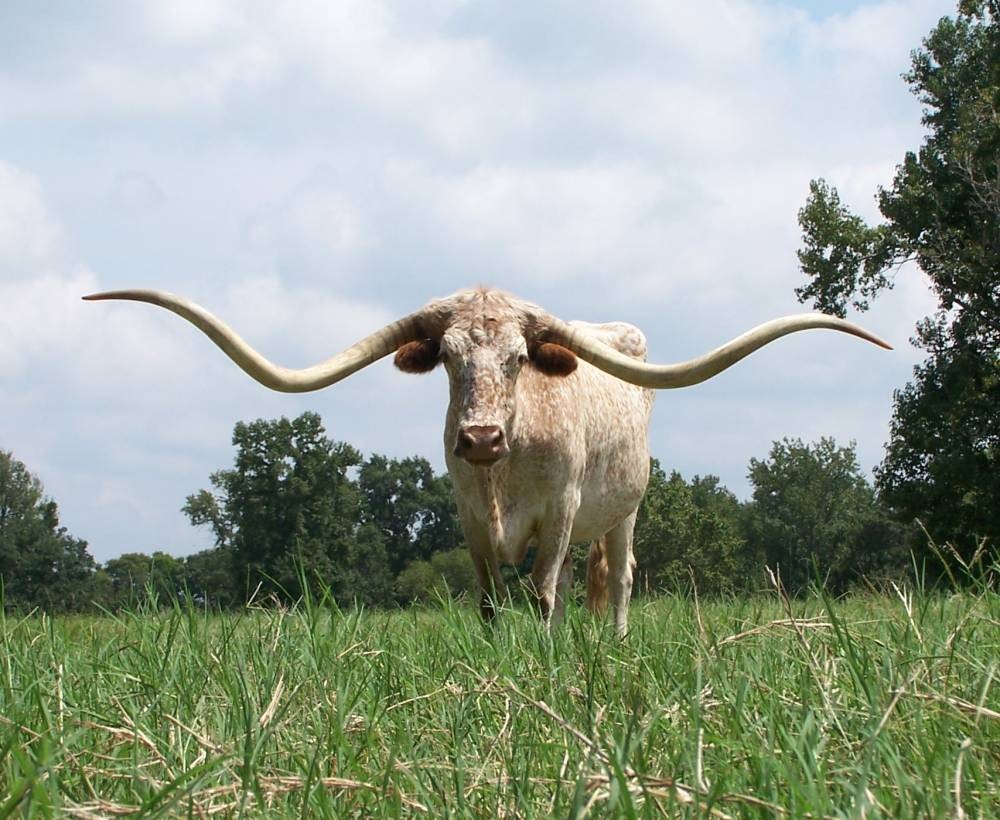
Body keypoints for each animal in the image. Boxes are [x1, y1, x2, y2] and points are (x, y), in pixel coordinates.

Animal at [84, 286, 890, 634]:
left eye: (517, 358)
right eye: (446, 357)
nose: (477, 438)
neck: (505, 471)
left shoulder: (560, 512)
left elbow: (542, 594)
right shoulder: (469, 518)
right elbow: (489, 599)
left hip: (623, 510)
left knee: (619, 581)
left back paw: (615, 641)